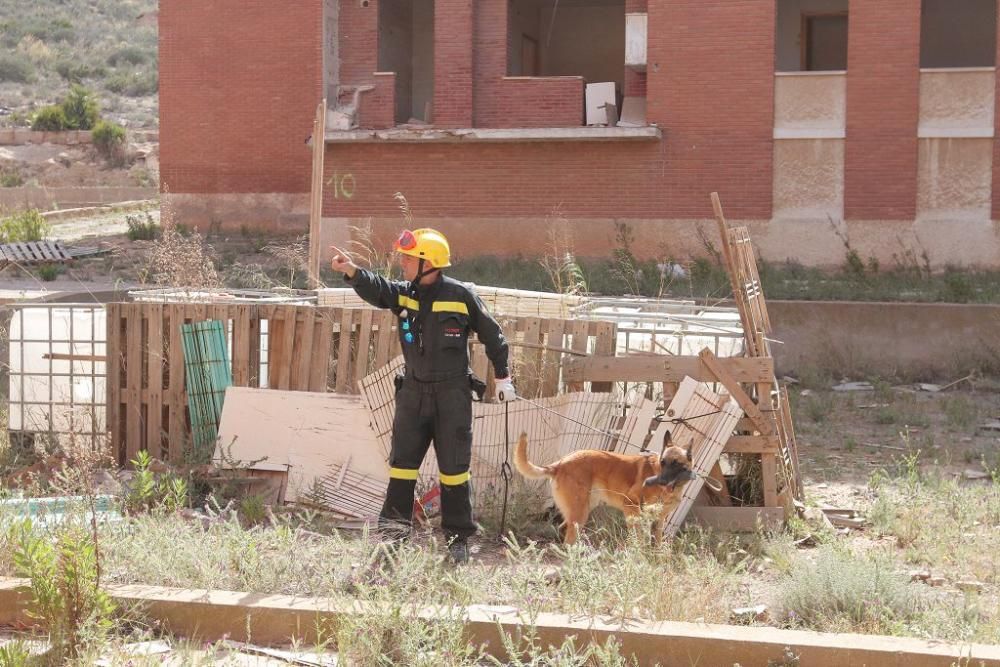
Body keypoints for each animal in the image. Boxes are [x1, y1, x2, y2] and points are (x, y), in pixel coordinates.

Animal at [516, 430, 696, 544]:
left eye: (676, 464)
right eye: (663, 462)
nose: (662, 481)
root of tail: (560, 463)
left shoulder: (659, 522)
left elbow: (656, 545)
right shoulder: (631, 506)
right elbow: (638, 540)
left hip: (584, 509)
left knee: (562, 529)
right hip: (581, 513)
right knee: (568, 538)